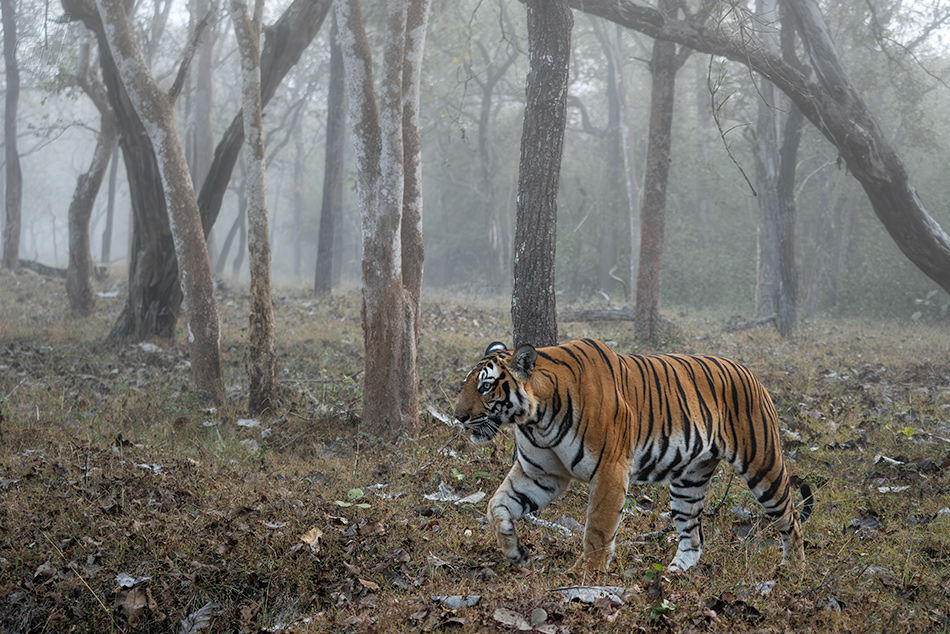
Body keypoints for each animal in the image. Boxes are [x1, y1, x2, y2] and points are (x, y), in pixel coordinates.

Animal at [458, 338, 816, 572]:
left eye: (486, 387)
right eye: (466, 384)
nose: (458, 416)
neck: (536, 419)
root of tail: (749, 371)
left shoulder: (609, 471)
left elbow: (597, 530)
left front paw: (585, 577)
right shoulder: (539, 474)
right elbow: (496, 506)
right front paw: (515, 552)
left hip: (763, 465)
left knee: (790, 519)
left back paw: (792, 572)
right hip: (689, 480)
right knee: (693, 535)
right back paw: (673, 574)